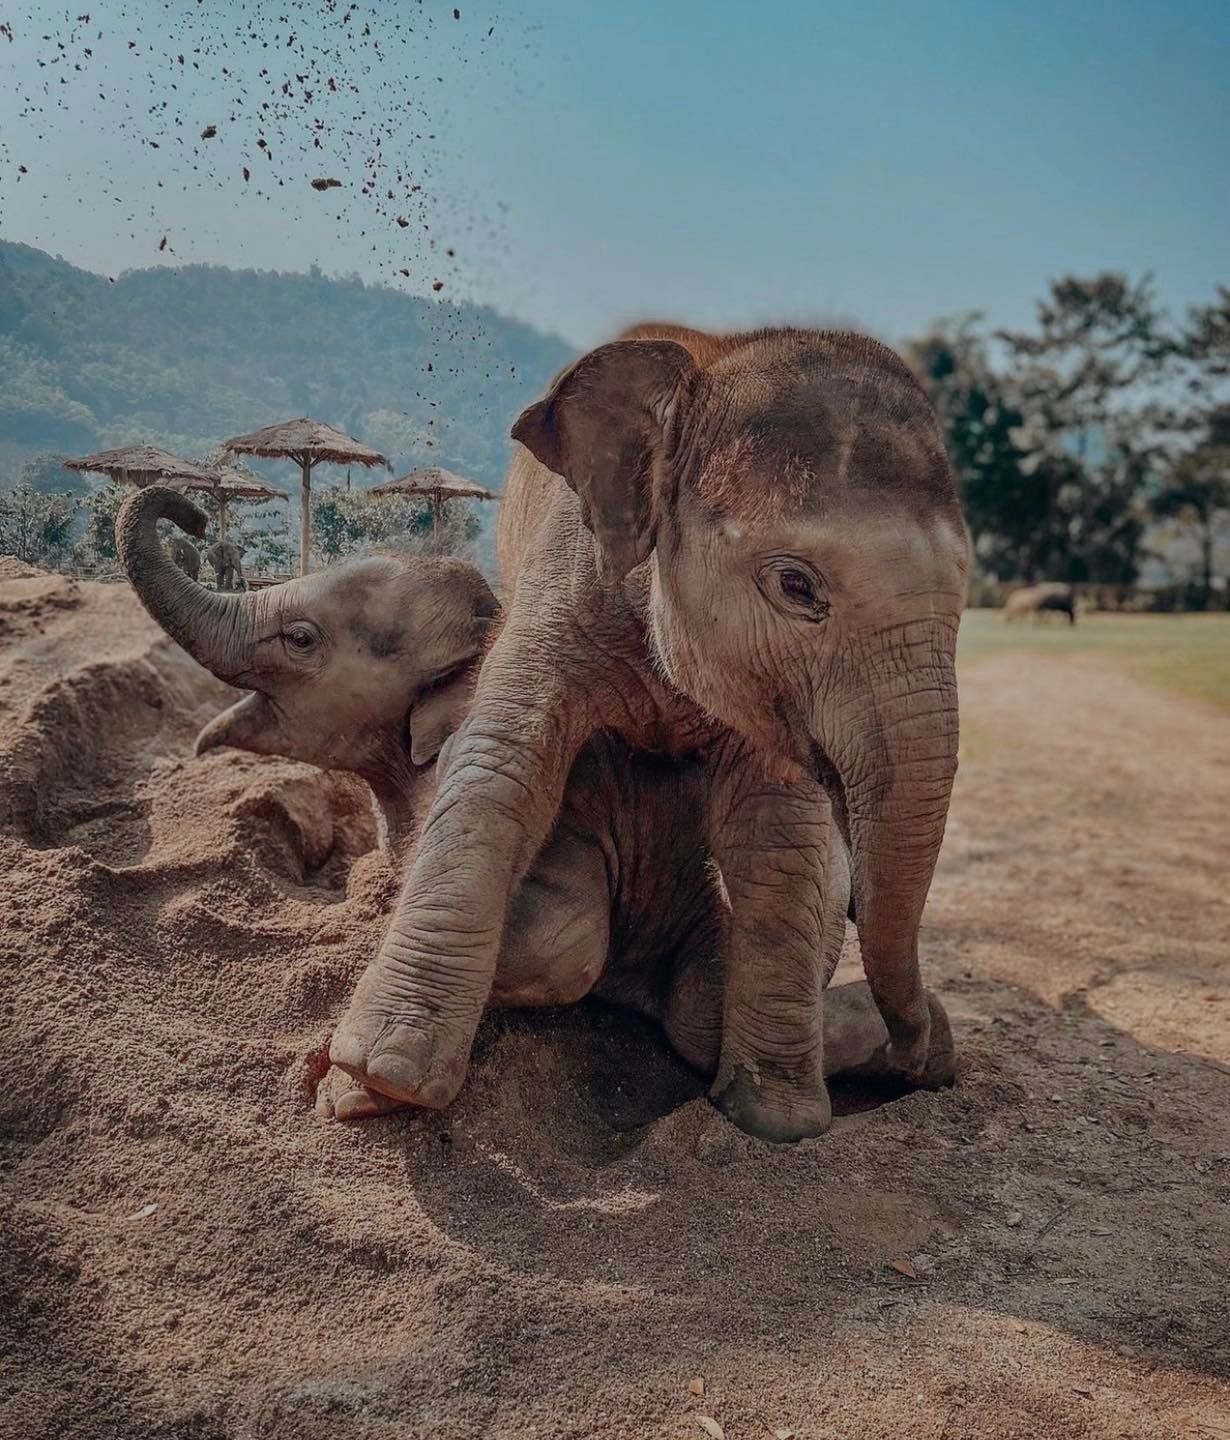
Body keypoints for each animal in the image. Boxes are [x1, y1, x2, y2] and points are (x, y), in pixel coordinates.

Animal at [118, 483, 962, 1134]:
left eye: (299, 638)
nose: (193, 518)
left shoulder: (574, 801)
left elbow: (569, 939)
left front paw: (343, 1085)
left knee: (698, 1017)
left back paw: (931, 1048)